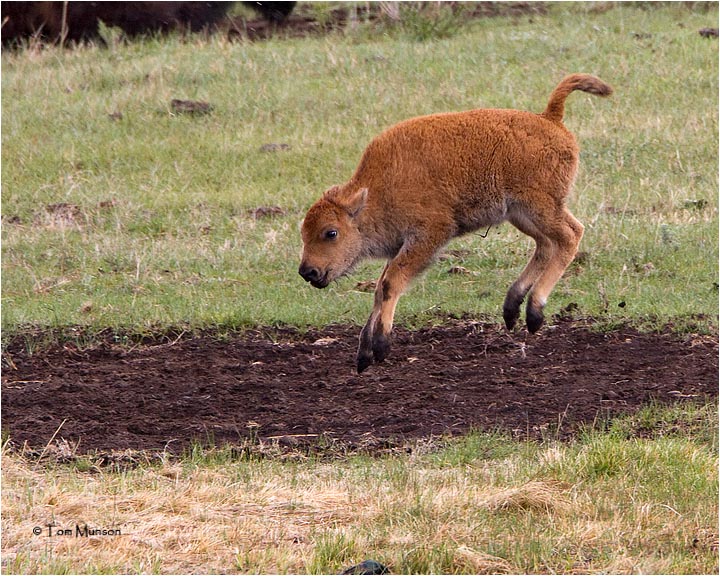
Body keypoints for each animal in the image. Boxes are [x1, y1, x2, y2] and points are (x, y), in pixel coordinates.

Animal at [300, 73, 612, 374]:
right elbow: (380, 288)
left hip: (539, 208)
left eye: (331, 232)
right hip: (521, 214)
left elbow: (390, 283)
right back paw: (512, 309)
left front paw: (380, 346)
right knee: (546, 245)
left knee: (570, 235)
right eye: (304, 233)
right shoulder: (403, 246)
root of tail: (550, 118)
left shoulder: (428, 236)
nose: (308, 271)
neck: (376, 191)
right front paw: (364, 354)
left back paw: (534, 314)